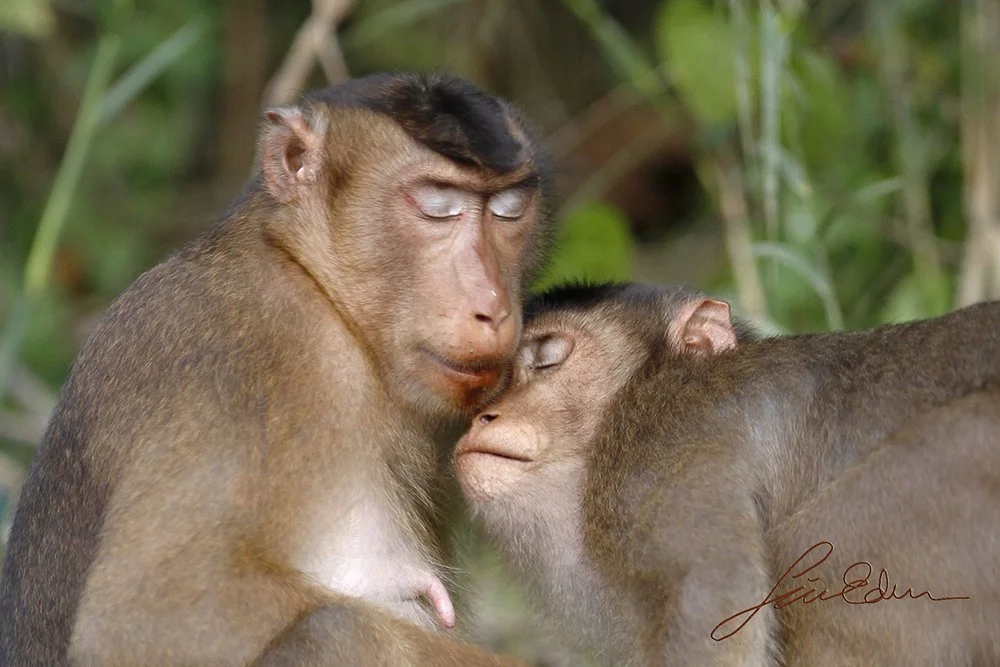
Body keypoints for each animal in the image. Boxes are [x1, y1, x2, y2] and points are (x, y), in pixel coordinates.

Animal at [0, 72, 553, 666]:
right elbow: (145, 613)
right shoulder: (240, 356)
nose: (491, 306)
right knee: (338, 627)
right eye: (438, 207)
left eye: (508, 210)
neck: (316, 285)